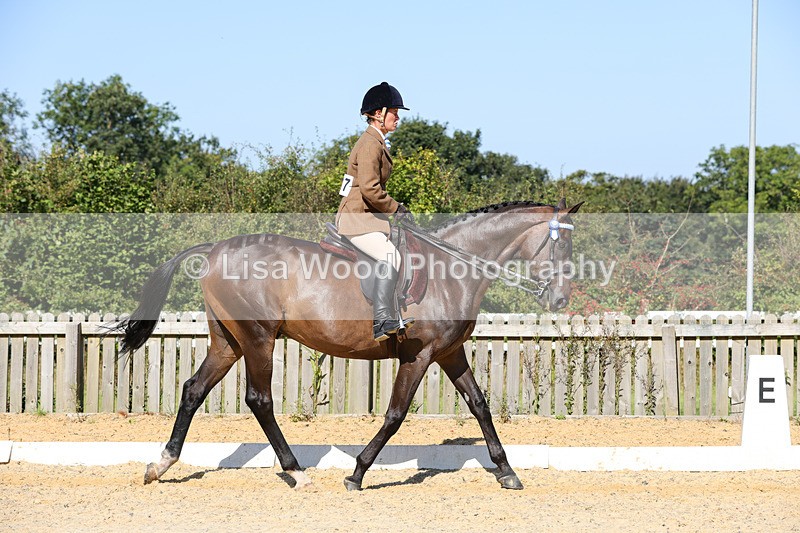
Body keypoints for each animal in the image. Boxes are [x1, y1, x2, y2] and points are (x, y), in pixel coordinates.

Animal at [114, 198, 582, 491]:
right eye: (561, 243)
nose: (560, 299)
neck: (451, 269)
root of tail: (215, 249)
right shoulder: (419, 356)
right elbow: (395, 415)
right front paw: (357, 472)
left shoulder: (449, 353)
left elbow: (480, 405)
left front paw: (507, 471)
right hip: (258, 338)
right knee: (259, 399)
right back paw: (296, 472)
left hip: (228, 341)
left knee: (193, 390)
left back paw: (161, 464)